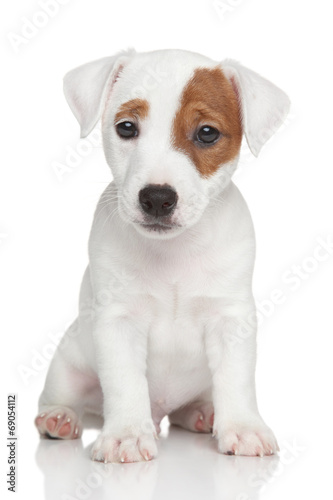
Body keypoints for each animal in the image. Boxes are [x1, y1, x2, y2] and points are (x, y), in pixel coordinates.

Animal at [33, 48, 288, 462]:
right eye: (126, 128)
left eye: (207, 133)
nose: (156, 198)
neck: (174, 252)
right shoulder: (118, 321)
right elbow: (125, 383)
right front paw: (125, 435)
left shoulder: (231, 319)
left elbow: (236, 379)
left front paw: (244, 428)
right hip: (67, 366)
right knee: (63, 397)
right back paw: (60, 417)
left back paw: (201, 413)